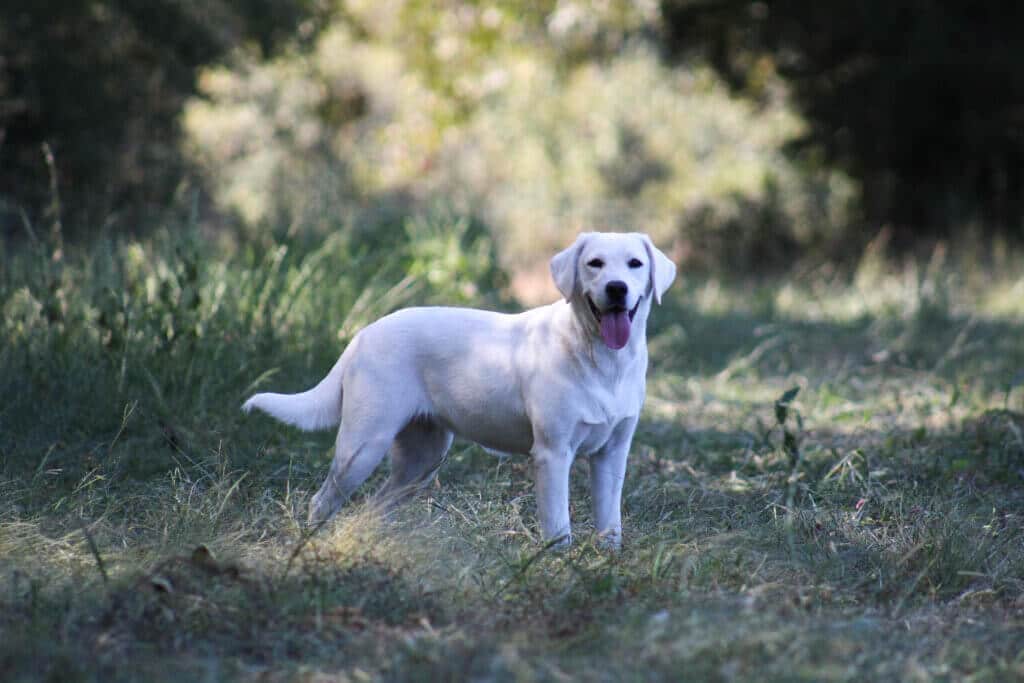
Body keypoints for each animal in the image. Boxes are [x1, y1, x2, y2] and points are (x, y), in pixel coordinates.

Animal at [238, 232, 671, 548]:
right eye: (594, 263)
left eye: (635, 263)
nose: (616, 288)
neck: (603, 361)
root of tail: (363, 333)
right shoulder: (552, 454)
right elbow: (558, 527)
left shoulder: (613, 454)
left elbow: (610, 524)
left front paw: (606, 565)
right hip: (362, 447)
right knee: (322, 500)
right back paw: (309, 545)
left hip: (421, 460)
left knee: (374, 507)